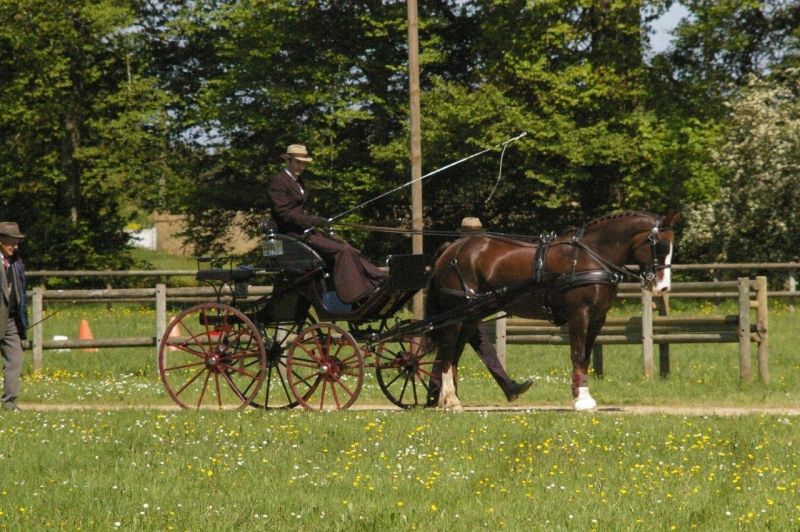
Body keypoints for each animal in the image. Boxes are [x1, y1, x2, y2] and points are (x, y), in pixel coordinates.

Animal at [424, 212, 680, 412]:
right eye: (660, 246)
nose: (663, 288)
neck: (590, 256)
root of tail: (453, 248)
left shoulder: (597, 319)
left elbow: (586, 356)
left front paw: (582, 395)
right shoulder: (579, 315)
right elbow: (578, 355)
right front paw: (582, 400)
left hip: (470, 315)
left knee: (454, 353)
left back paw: (450, 399)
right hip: (454, 314)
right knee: (447, 351)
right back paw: (450, 400)